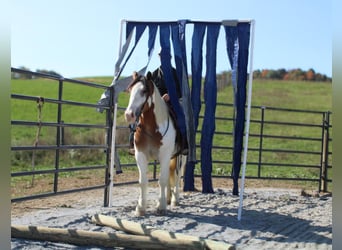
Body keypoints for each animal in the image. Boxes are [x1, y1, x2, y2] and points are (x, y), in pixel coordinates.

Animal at [123, 71, 186, 216]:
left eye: (144, 91)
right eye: (130, 90)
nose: (129, 115)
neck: (152, 129)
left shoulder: (165, 156)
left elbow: (162, 180)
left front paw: (161, 207)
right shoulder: (140, 155)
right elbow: (143, 181)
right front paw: (141, 207)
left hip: (181, 156)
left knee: (177, 175)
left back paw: (174, 200)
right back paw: (168, 199)